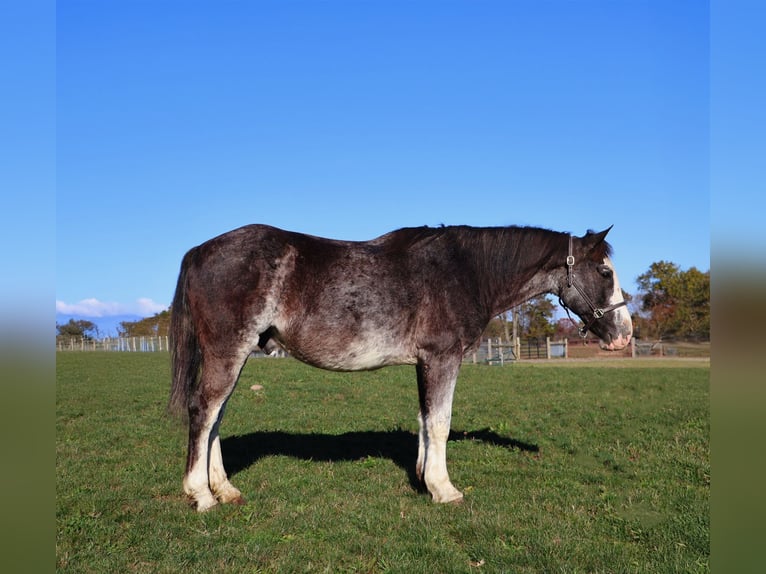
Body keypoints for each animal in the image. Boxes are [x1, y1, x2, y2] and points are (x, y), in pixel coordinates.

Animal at [168, 223, 633, 512]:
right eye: (604, 271)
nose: (624, 334)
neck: (466, 271)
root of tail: (200, 251)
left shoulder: (425, 362)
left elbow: (425, 420)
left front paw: (425, 477)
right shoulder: (443, 358)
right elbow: (441, 422)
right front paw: (445, 490)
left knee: (215, 417)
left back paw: (225, 489)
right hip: (228, 351)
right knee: (203, 411)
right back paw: (201, 496)